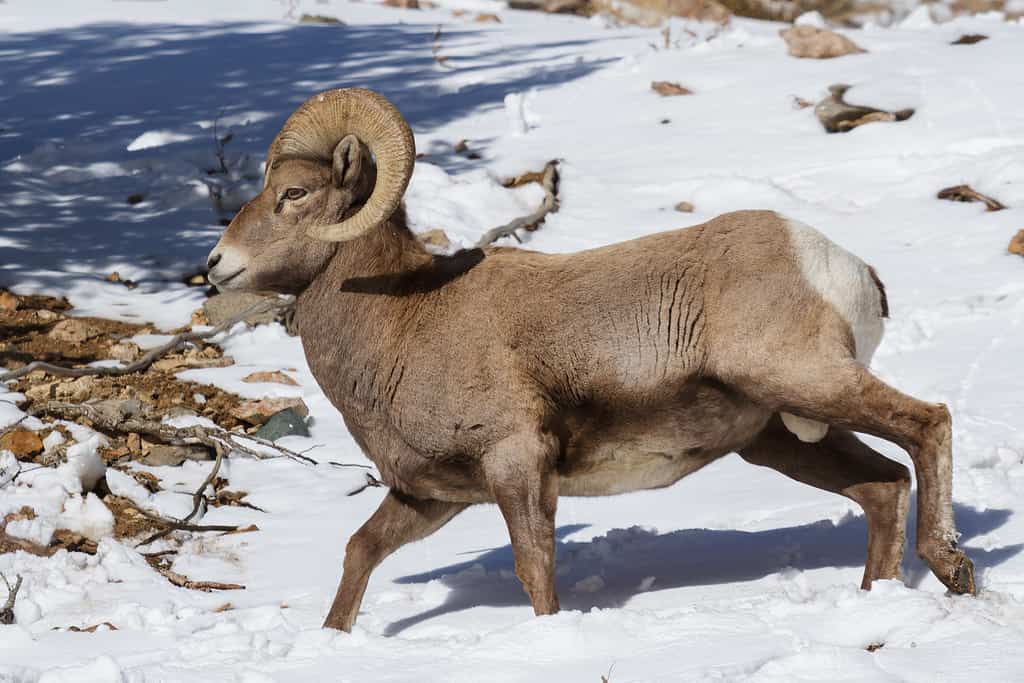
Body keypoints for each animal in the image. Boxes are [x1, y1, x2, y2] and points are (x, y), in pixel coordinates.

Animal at [205, 88, 974, 634]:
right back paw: (879, 597)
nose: (214, 267)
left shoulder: (517, 465)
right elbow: (360, 551)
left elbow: (535, 570)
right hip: (781, 436)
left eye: (295, 194)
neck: (405, 318)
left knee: (927, 423)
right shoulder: (432, 495)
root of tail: (844, 267)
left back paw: (951, 567)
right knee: (883, 487)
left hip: (805, 382)